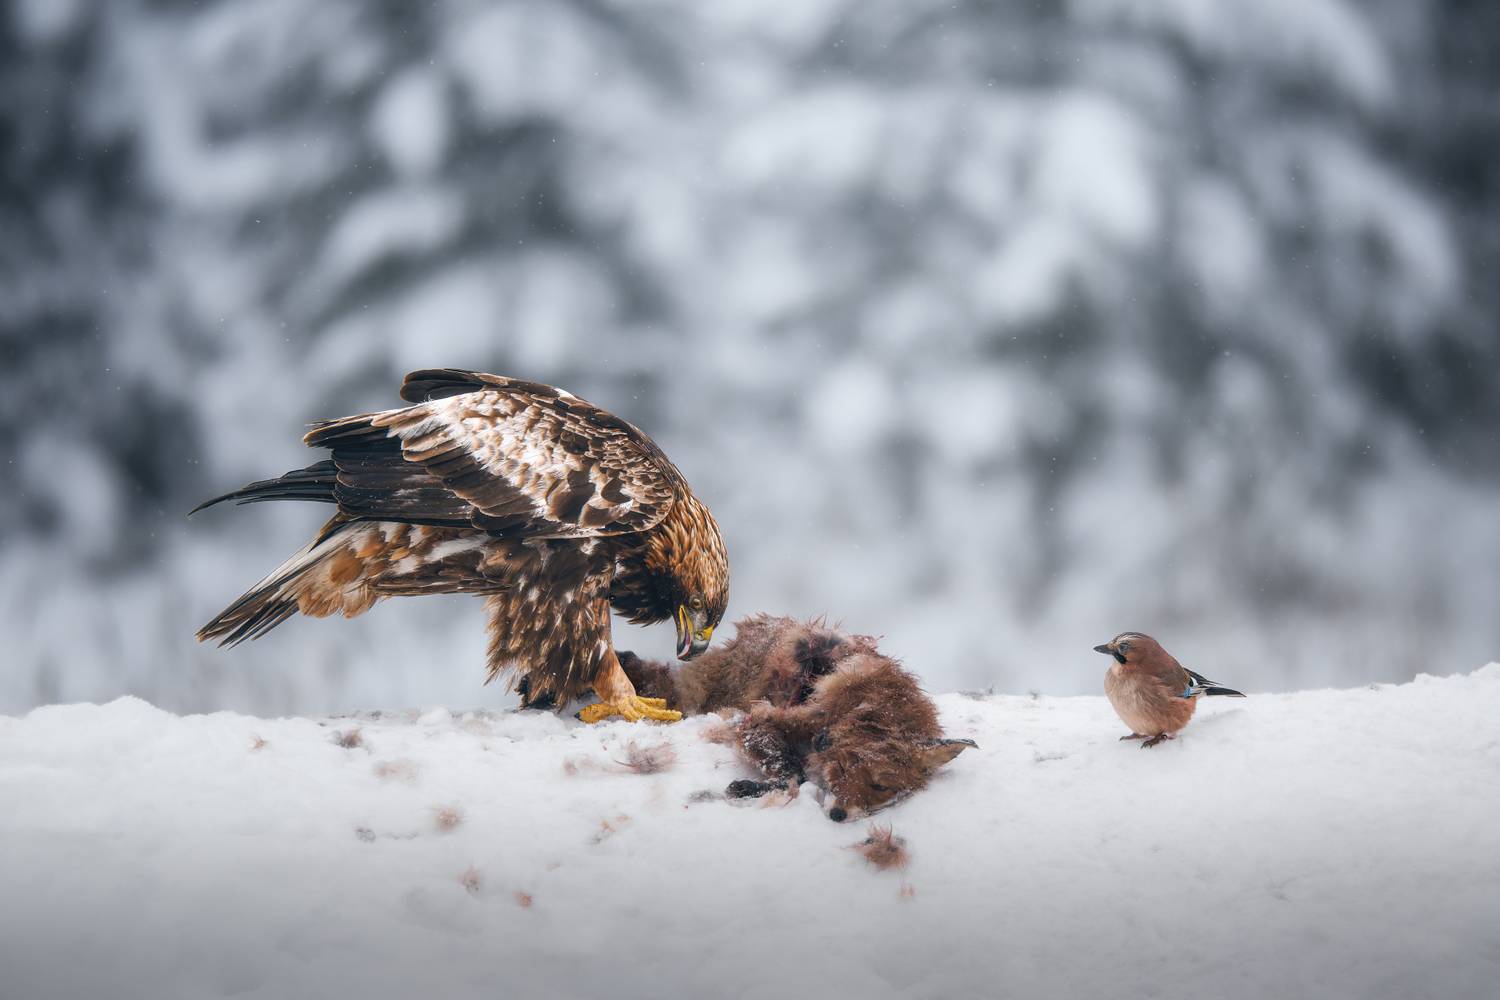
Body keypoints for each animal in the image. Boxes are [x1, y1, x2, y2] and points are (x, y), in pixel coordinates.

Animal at [619, 614, 977, 821]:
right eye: (842, 768)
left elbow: (797, 775)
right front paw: (750, 787)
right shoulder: (757, 722)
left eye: (880, 786)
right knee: (669, 686)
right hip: (699, 693)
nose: (837, 814)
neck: (865, 702)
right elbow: (796, 773)